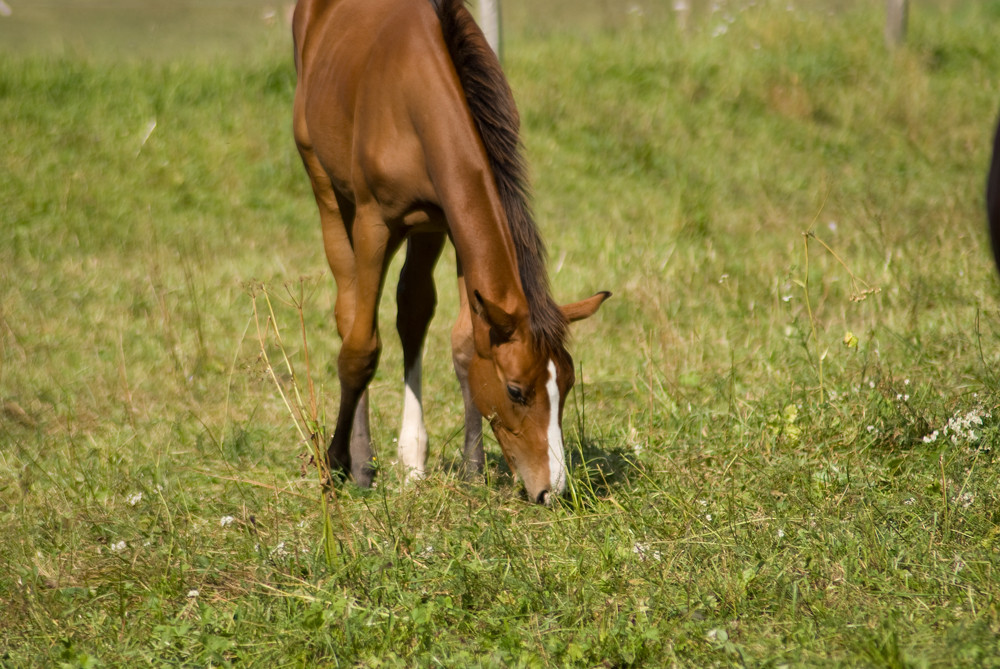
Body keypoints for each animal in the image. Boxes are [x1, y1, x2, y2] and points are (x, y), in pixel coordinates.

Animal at [292, 0, 608, 504]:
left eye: (568, 383)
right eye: (516, 391)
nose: (552, 490)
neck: (415, 92)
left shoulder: (452, 222)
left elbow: (463, 341)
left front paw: (472, 470)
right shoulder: (373, 223)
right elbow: (361, 348)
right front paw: (337, 464)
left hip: (426, 228)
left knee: (412, 311)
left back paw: (411, 459)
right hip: (326, 186)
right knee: (350, 312)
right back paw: (361, 462)